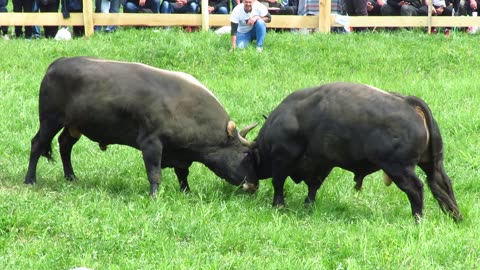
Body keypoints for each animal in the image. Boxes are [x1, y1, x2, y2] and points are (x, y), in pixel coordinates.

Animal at [23, 57, 258, 195]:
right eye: (245, 155)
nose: (254, 184)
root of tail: (57, 63)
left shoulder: (180, 153)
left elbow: (182, 174)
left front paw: (186, 192)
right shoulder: (151, 142)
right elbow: (154, 172)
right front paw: (155, 196)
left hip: (74, 126)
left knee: (65, 145)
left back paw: (71, 177)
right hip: (50, 120)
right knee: (37, 144)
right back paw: (30, 179)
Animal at [248, 82, 462, 221]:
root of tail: (408, 102)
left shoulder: (282, 159)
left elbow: (278, 184)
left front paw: (278, 206)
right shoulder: (322, 164)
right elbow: (313, 187)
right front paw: (307, 207)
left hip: (399, 168)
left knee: (416, 188)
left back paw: (418, 219)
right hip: (432, 164)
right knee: (442, 184)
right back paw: (456, 216)